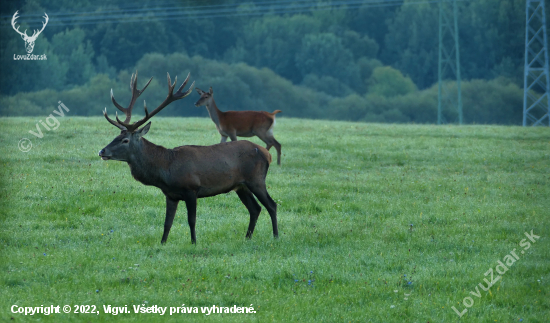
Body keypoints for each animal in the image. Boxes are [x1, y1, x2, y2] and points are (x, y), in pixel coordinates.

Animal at [98, 70, 280, 243]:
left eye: (125, 140)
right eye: (116, 136)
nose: (102, 151)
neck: (165, 170)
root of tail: (267, 154)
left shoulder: (191, 189)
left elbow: (191, 220)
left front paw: (193, 242)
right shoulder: (170, 195)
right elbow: (167, 223)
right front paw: (162, 243)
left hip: (256, 179)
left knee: (272, 205)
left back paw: (275, 236)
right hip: (240, 186)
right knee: (255, 208)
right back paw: (247, 238)